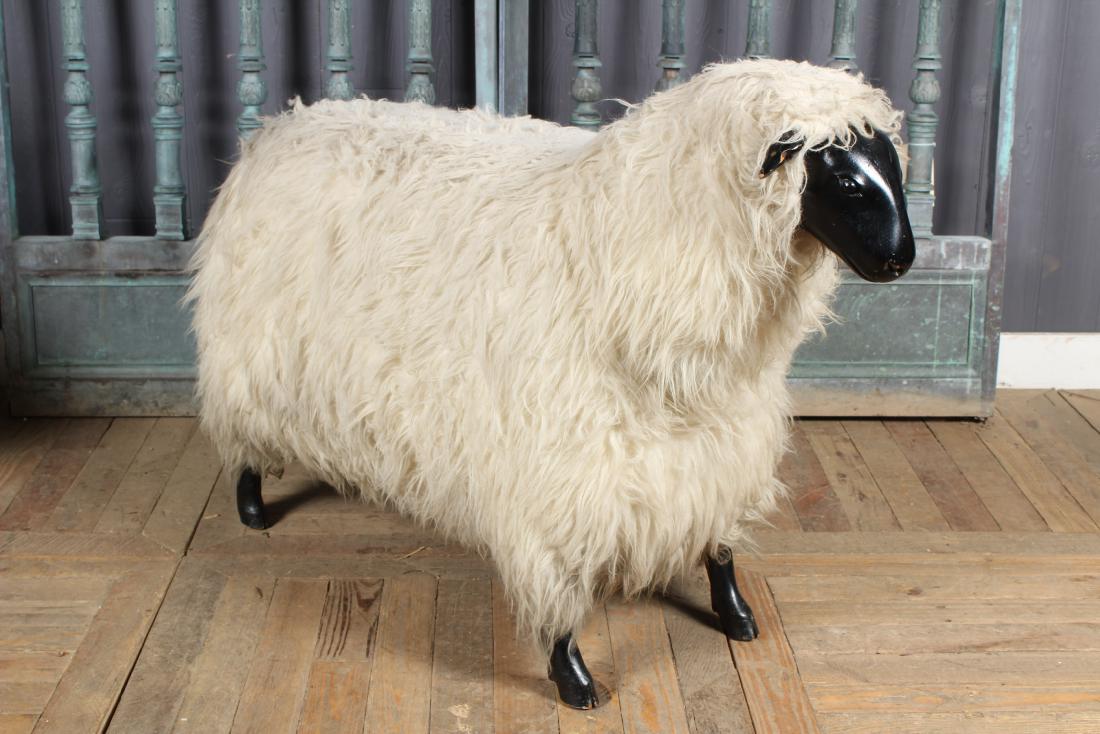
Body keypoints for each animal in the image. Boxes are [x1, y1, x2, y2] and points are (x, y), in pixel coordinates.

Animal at [188, 58, 913, 709]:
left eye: (895, 170)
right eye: (847, 182)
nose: (901, 259)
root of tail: (284, 123)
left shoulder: (716, 443)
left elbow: (721, 541)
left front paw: (735, 614)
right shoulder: (557, 468)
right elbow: (558, 584)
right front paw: (572, 675)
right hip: (250, 354)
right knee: (240, 434)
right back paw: (251, 508)